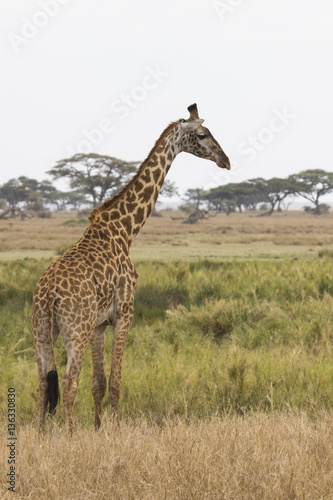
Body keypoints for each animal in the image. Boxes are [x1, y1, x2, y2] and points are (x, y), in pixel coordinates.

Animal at [31, 102, 230, 434]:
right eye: (202, 134)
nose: (225, 160)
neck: (125, 231)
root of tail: (47, 294)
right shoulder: (125, 314)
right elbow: (115, 382)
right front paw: (113, 430)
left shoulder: (100, 323)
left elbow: (98, 383)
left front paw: (98, 428)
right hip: (75, 330)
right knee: (69, 381)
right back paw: (68, 436)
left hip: (41, 332)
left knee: (43, 384)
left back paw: (42, 435)